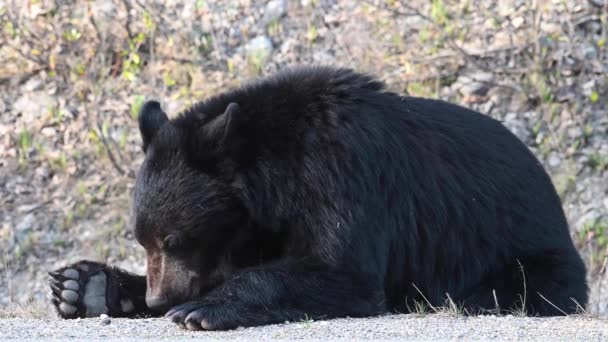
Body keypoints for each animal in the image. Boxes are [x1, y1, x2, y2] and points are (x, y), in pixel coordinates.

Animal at [51, 65, 588, 330]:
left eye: (175, 238)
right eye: (143, 240)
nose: (160, 298)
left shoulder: (345, 172)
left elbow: (342, 271)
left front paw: (200, 310)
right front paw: (86, 285)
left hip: (526, 253)